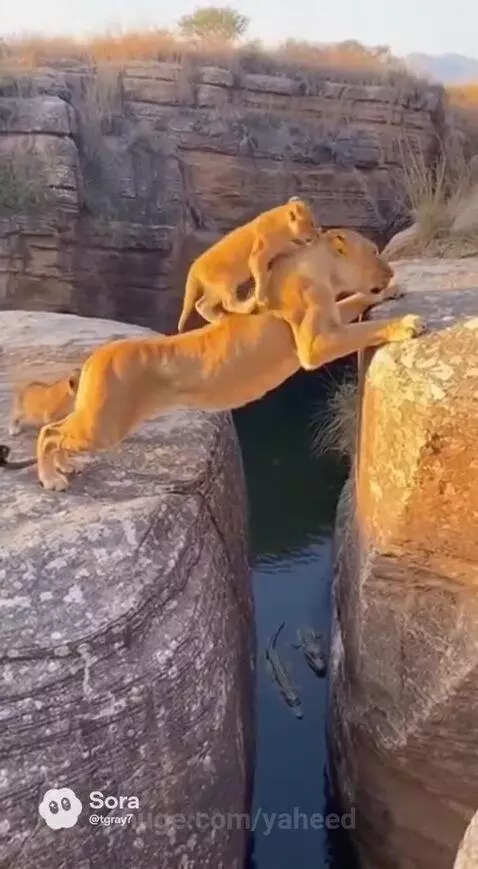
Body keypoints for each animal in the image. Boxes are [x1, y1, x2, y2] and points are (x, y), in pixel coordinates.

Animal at [30, 284, 424, 491]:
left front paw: (388, 291)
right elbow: (363, 327)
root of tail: (94, 357)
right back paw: (51, 478)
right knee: (49, 432)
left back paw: (64, 466)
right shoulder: (316, 345)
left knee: (56, 431)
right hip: (105, 426)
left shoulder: (329, 322)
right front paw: (404, 323)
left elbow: (352, 302)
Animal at [177, 196, 318, 332]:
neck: (279, 222)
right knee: (228, 303)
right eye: (311, 223)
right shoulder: (259, 252)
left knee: (201, 304)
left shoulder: (279, 245)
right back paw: (249, 303)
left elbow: (290, 246)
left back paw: (218, 318)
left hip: (214, 288)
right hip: (224, 281)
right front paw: (261, 297)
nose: (318, 232)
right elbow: (260, 273)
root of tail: (194, 268)